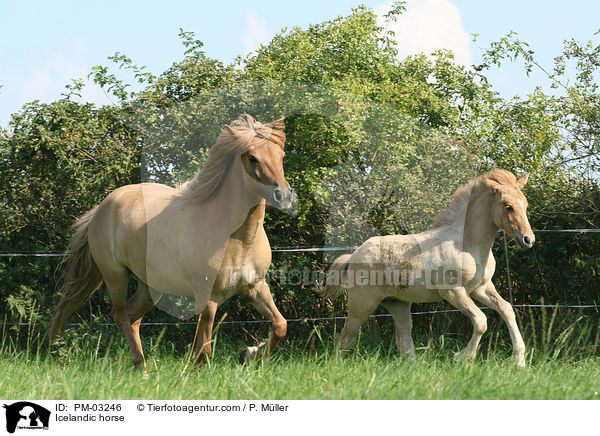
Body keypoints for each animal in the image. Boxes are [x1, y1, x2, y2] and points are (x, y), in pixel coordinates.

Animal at [49, 113, 296, 368]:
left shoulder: (255, 287)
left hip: (151, 285)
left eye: (281, 155)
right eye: (253, 158)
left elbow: (280, 325)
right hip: (115, 276)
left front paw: (248, 353)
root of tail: (102, 208)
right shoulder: (208, 299)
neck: (238, 239)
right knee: (120, 315)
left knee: (133, 316)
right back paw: (142, 366)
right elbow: (203, 349)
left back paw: (140, 365)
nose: (284, 196)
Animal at [324, 169, 536, 366]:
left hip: (397, 304)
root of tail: (353, 255)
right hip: (362, 305)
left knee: (404, 342)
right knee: (345, 338)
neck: (467, 245)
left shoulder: (481, 288)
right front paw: (462, 357)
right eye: (508, 207)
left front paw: (520, 362)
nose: (528, 239)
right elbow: (481, 321)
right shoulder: (452, 291)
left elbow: (507, 309)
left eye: (525, 205)